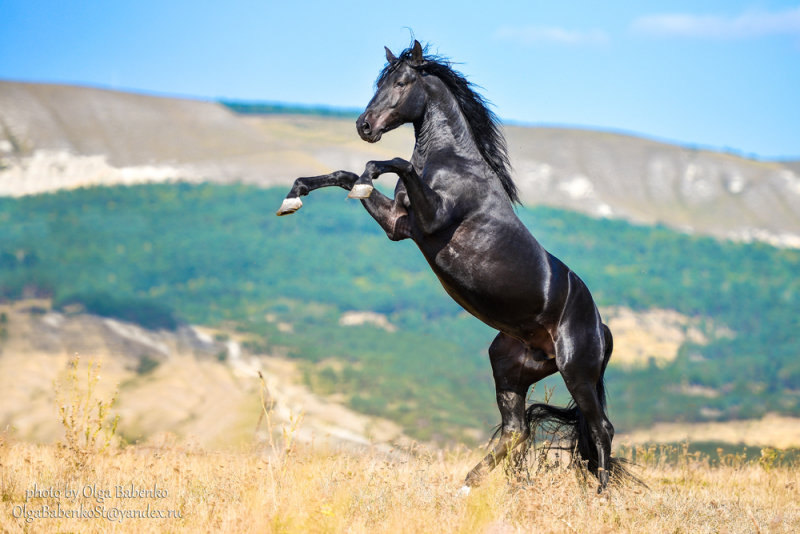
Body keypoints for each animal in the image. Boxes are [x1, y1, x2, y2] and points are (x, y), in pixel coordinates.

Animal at [278, 40, 620, 494]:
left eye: (402, 82)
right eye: (380, 82)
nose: (364, 126)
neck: (451, 161)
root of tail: (601, 325)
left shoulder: (430, 218)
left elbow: (389, 163)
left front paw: (365, 177)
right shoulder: (399, 225)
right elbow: (343, 174)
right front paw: (293, 196)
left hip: (577, 372)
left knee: (601, 428)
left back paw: (600, 495)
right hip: (509, 368)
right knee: (516, 431)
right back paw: (466, 487)